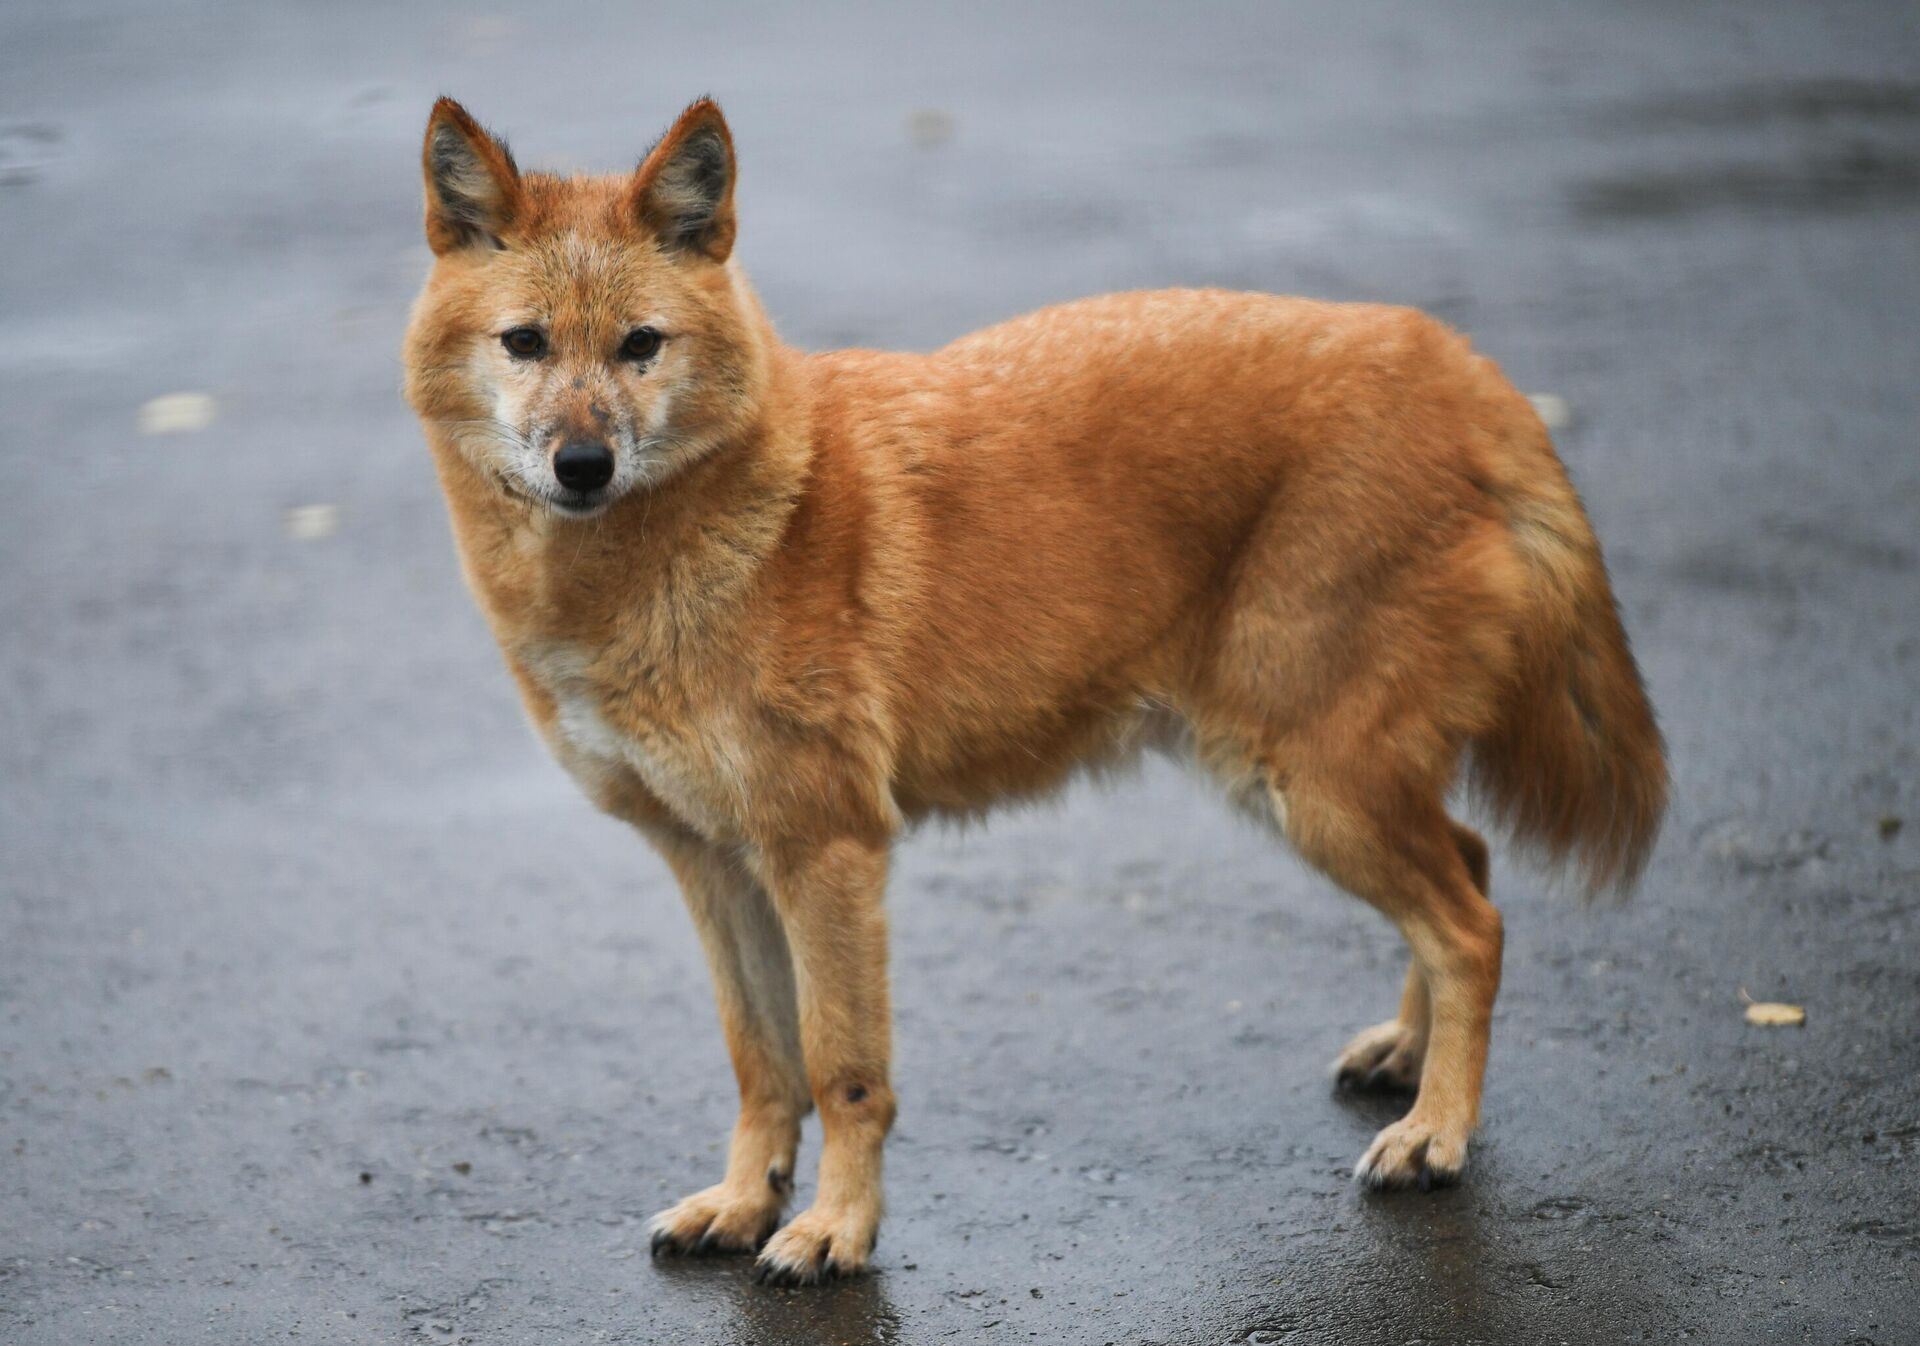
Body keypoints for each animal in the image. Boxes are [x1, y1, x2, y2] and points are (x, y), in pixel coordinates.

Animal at [401, 96, 1666, 1282]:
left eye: (640, 345)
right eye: (525, 342)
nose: (581, 466)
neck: (704, 539)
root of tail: (1458, 363)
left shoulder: (826, 853)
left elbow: (842, 1066)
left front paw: (835, 1229)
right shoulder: (714, 862)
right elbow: (762, 1059)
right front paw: (746, 1201)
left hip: (1314, 785)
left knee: (1472, 922)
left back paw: (1438, 1132)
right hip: (1318, 786)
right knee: (1471, 867)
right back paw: (1408, 1063)